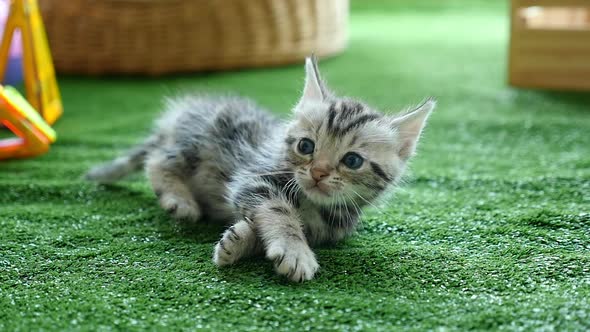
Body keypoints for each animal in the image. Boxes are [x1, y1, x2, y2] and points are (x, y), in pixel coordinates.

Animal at [85, 56, 434, 280]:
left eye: (352, 161)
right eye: (306, 146)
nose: (318, 173)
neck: (313, 205)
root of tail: (174, 120)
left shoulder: (327, 229)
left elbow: (264, 222)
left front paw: (239, 240)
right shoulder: (254, 177)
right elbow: (279, 211)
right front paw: (295, 250)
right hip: (197, 140)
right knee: (156, 159)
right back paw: (180, 200)